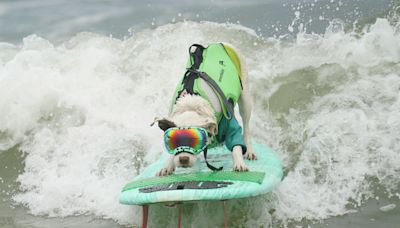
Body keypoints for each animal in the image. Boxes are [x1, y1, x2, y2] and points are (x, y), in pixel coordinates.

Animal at [153, 42, 256, 176]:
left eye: (195, 140)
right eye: (173, 141)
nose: (183, 159)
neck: (192, 104)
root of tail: (222, 43)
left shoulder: (228, 121)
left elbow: (236, 143)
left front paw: (239, 162)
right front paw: (167, 166)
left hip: (245, 96)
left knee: (246, 126)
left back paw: (249, 151)